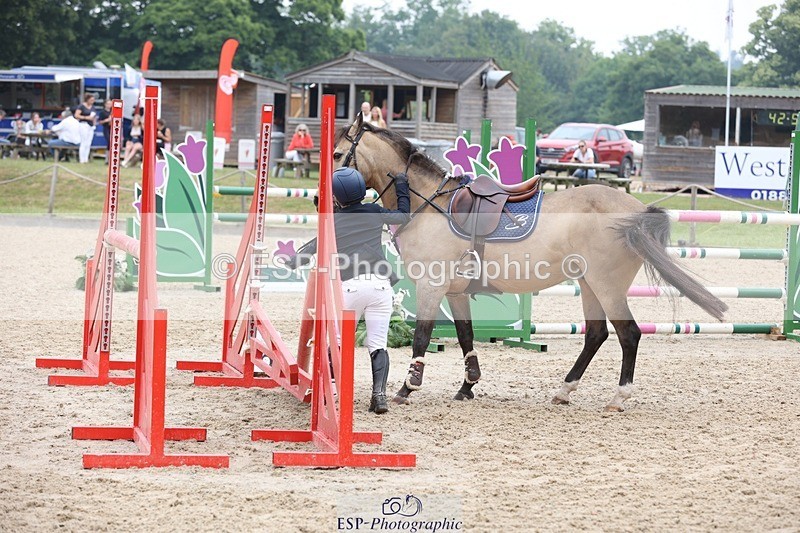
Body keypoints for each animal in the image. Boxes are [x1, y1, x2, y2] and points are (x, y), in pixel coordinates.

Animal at [333, 119, 727, 412]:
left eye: (338, 153)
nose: (328, 198)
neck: (430, 204)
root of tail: (637, 210)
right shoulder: (455, 291)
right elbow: (465, 336)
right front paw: (467, 386)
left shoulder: (432, 286)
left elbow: (421, 336)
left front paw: (407, 387)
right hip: (589, 284)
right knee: (596, 334)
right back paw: (565, 390)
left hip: (607, 285)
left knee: (628, 334)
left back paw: (618, 397)